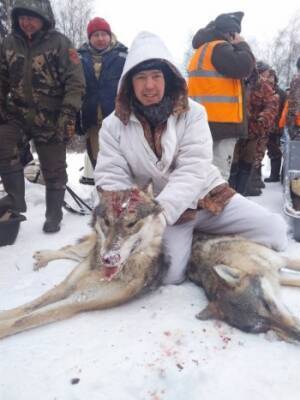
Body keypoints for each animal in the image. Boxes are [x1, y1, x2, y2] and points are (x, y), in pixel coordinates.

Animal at [0, 187, 300, 340]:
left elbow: (29, 316)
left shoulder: (77, 302)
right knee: (70, 249)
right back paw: (42, 256)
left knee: (72, 250)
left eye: (132, 224)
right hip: (83, 254)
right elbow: (26, 310)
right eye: (107, 222)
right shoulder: (68, 290)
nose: (108, 257)